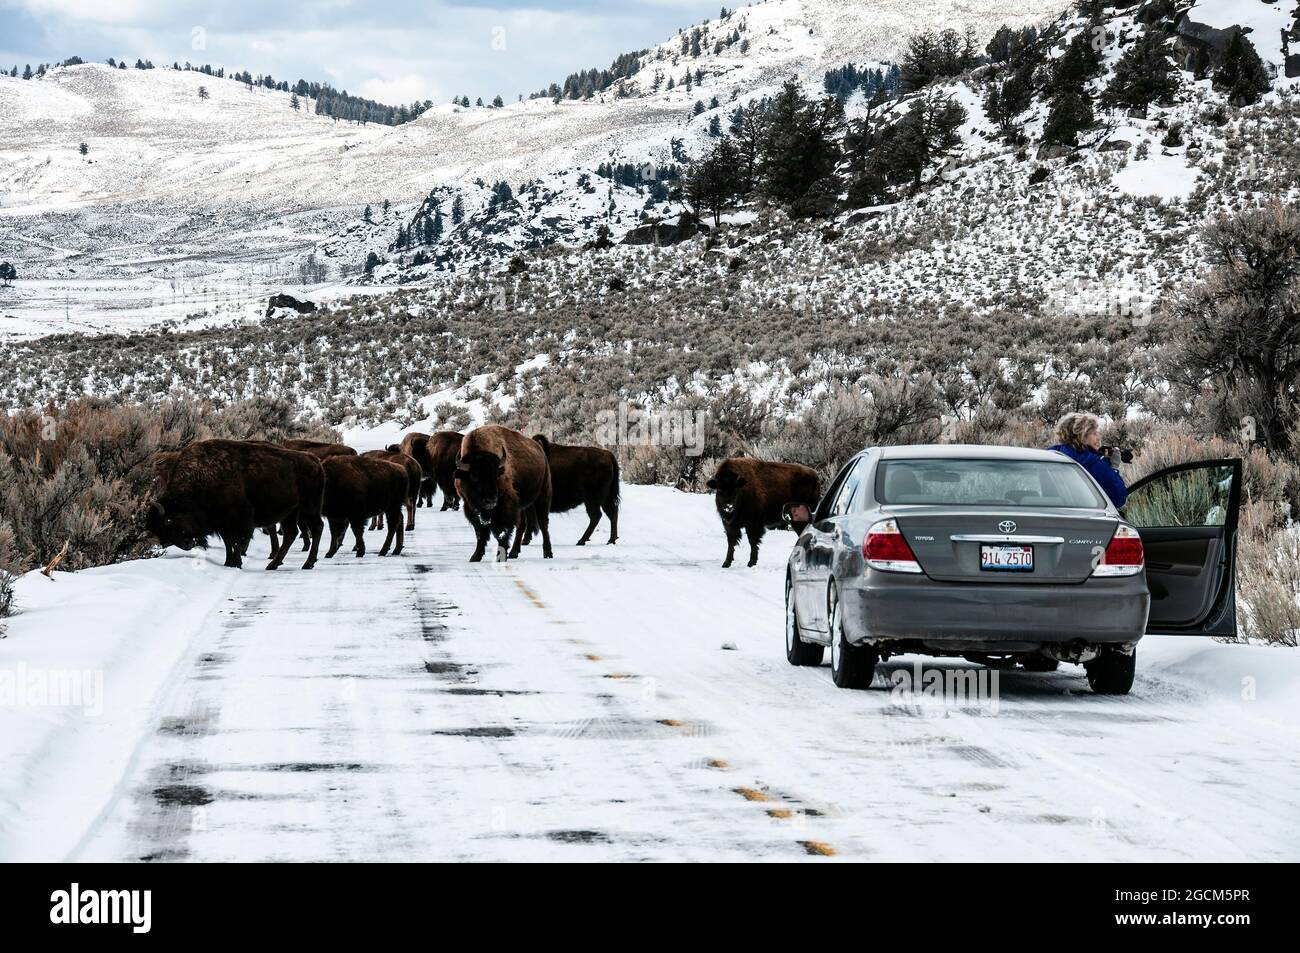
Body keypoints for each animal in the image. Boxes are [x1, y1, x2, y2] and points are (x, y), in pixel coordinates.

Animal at [147, 439, 324, 570]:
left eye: (168, 520)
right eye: (157, 529)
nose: (186, 544)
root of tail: (315, 460)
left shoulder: (238, 519)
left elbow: (236, 541)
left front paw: (236, 563)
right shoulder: (222, 523)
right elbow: (228, 542)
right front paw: (228, 562)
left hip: (310, 507)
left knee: (317, 528)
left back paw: (307, 563)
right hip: (291, 512)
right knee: (291, 534)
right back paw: (273, 564)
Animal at [454, 425, 553, 562]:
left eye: (496, 475)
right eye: (474, 476)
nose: (491, 500)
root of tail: (540, 449)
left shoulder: (505, 506)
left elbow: (502, 531)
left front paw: (500, 556)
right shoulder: (471, 507)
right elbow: (480, 533)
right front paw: (475, 556)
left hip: (542, 497)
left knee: (544, 524)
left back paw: (548, 553)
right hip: (524, 505)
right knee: (522, 525)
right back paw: (514, 553)